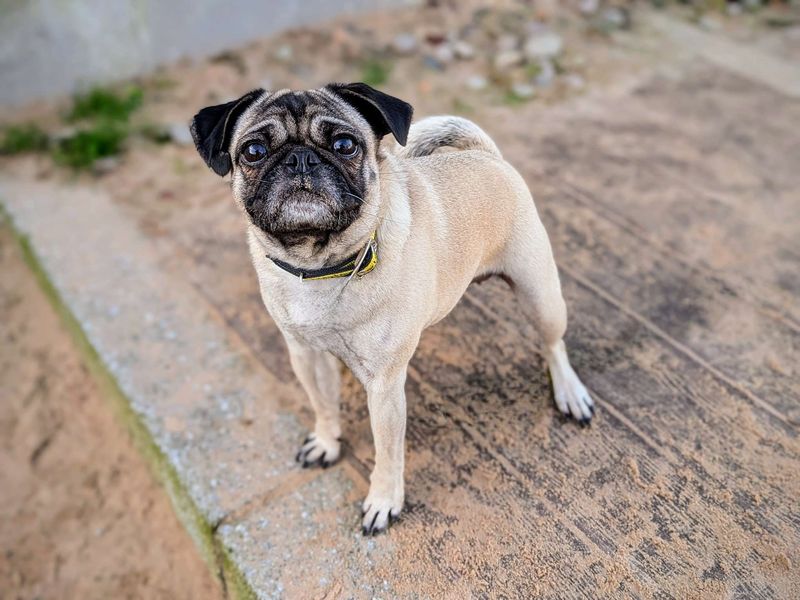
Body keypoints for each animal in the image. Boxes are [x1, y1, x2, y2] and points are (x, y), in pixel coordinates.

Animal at [191, 81, 592, 536]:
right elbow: (323, 406)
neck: (320, 266)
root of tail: (485, 155)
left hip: (539, 293)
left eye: (345, 145)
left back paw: (570, 392)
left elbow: (387, 451)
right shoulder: (306, 356)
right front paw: (327, 443)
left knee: (553, 344)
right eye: (254, 151)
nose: (300, 158)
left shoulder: (384, 386)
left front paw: (383, 501)